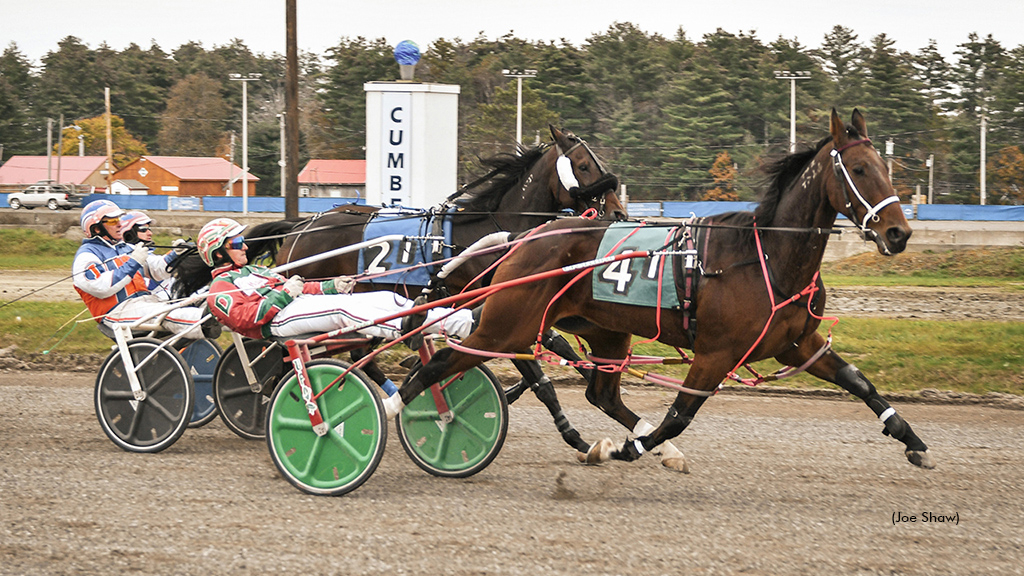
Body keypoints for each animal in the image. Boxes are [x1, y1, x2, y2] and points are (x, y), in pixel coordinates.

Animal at [393, 108, 937, 471]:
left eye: (887, 168)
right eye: (860, 170)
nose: (898, 233)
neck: (765, 256)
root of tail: (524, 237)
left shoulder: (798, 342)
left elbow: (858, 382)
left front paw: (911, 439)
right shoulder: (718, 351)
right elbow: (679, 415)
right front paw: (630, 448)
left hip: (600, 333)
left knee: (600, 392)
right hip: (507, 324)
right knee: (441, 365)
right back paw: (392, 411)